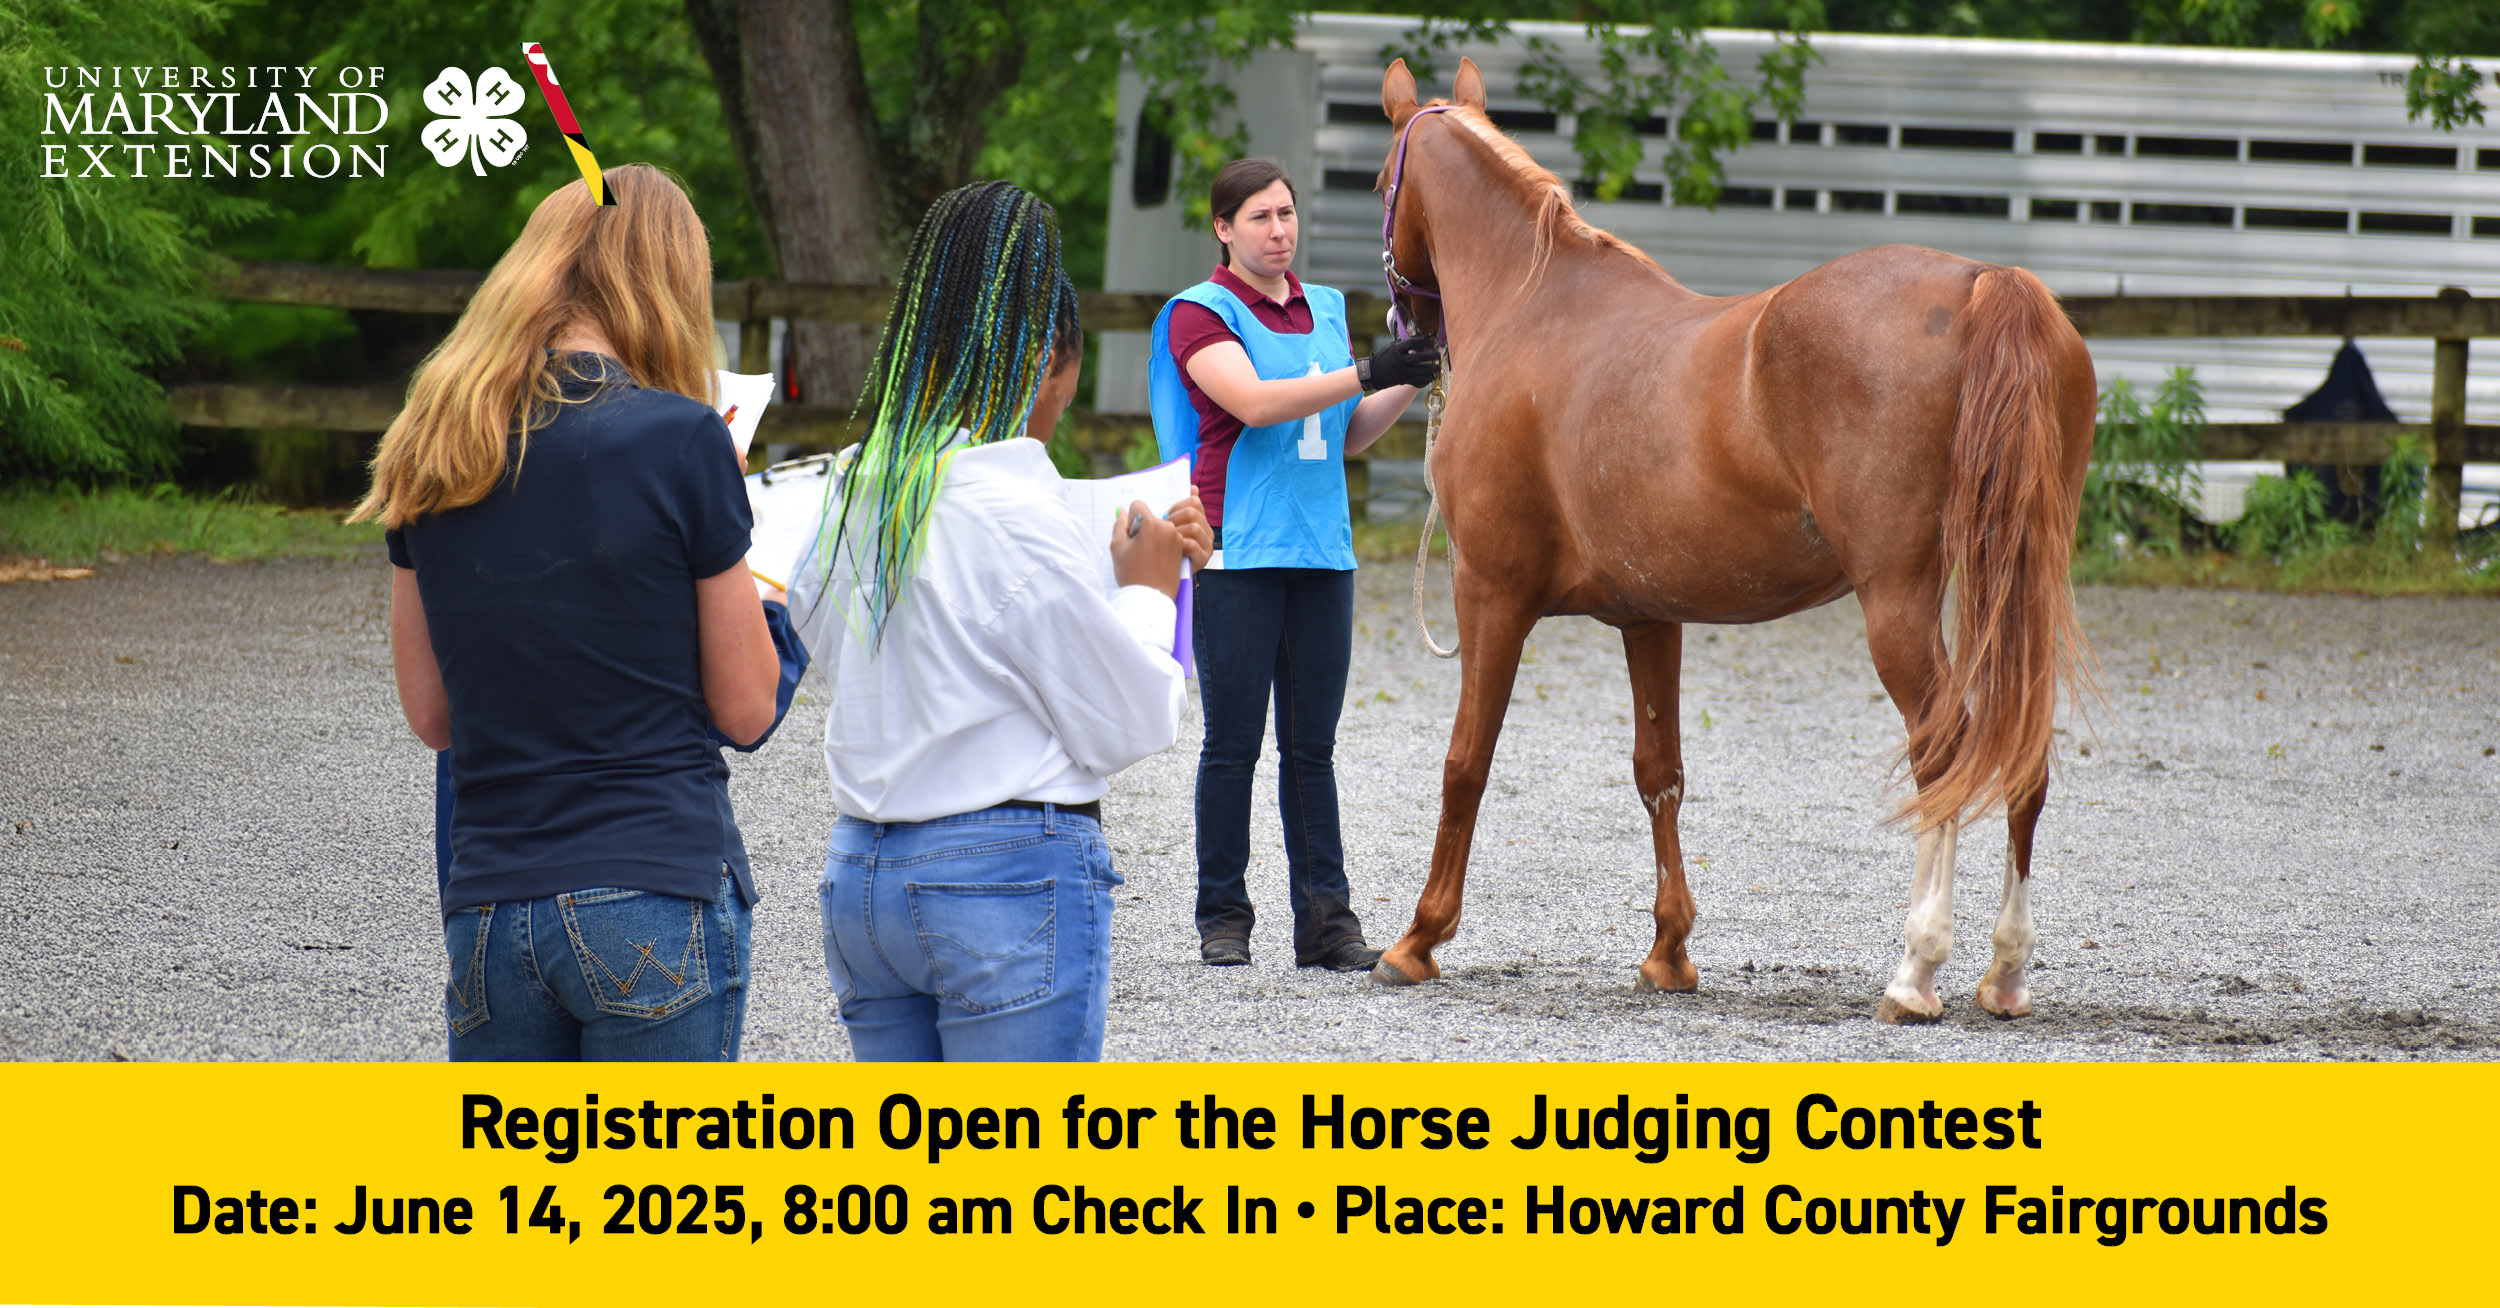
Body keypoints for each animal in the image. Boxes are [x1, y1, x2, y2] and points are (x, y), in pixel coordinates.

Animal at [1368, 57, 2098, 1024]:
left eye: (1380, 183)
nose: (1405, 334)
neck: (1532, 303)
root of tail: (1983, 281)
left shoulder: (1489, 593)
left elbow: (1465, 762)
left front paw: (1417, 939)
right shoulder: (1649, 617)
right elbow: (1660, 772)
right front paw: (1669, 952)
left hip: (1898, 603)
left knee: (1944, 753)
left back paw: (1916, 971)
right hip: (2020, 588)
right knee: (2023, 755)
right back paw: (2005, 972)